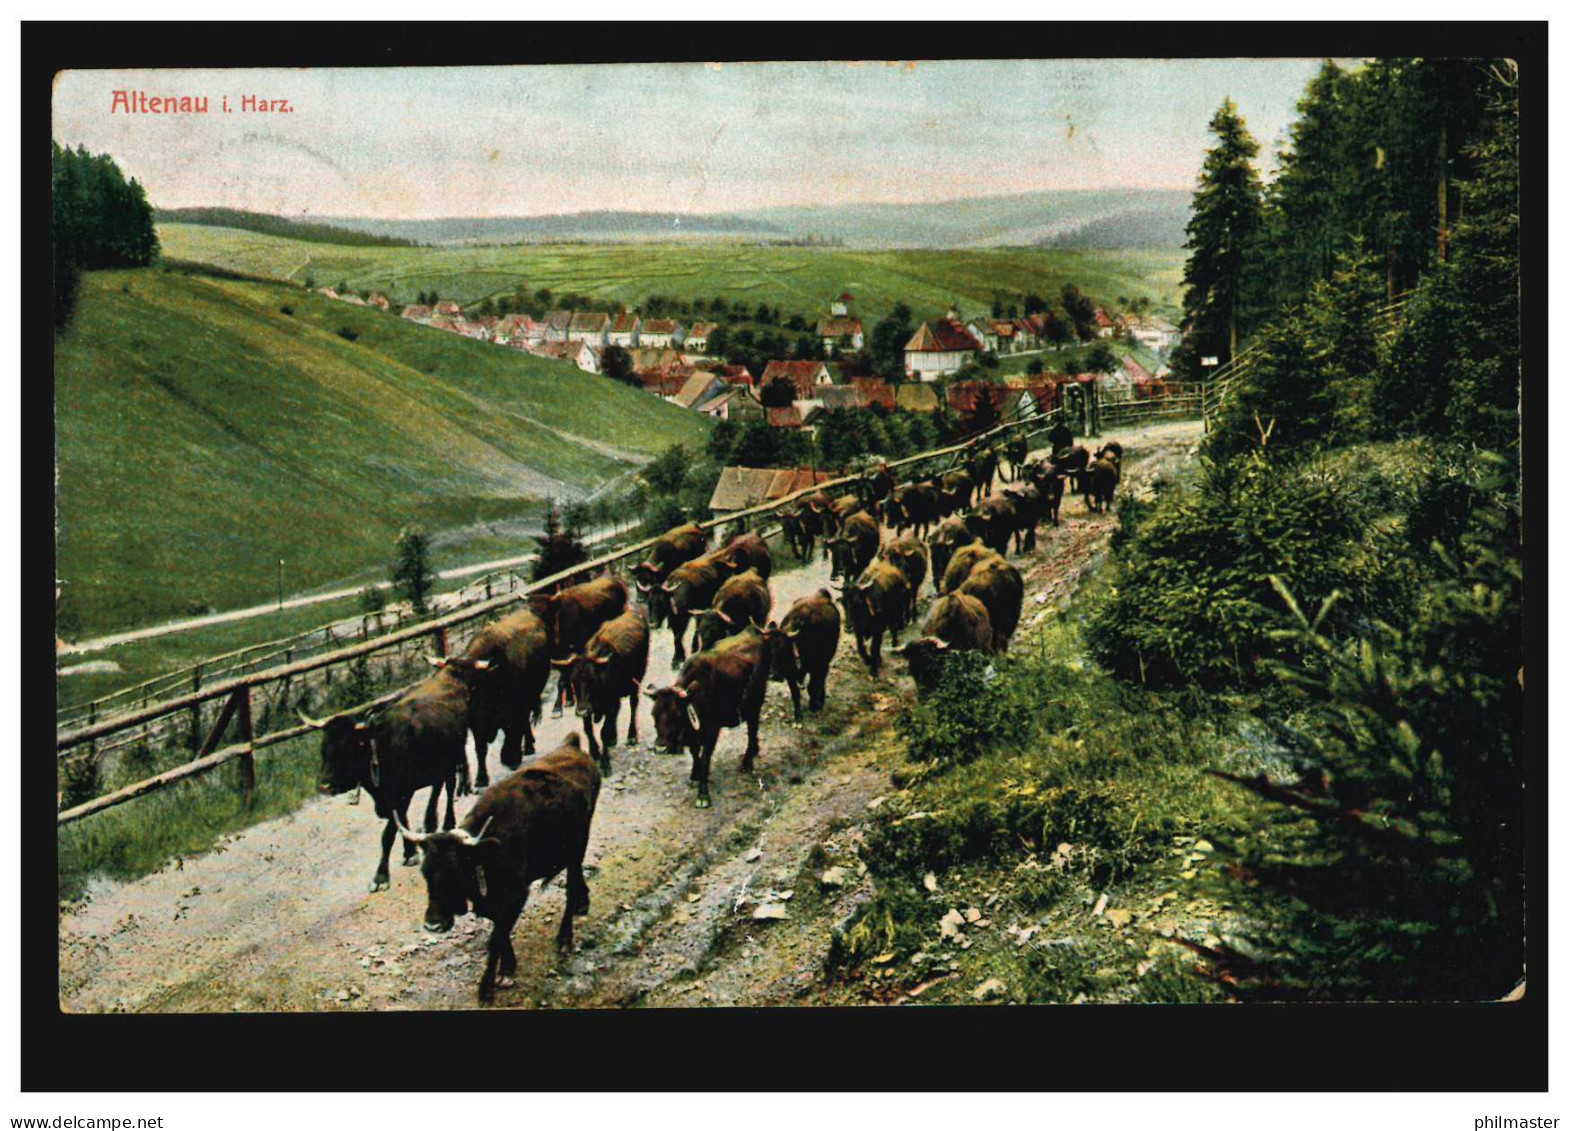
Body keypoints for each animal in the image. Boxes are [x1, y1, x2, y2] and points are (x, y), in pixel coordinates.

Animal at [398, 737, 599, 1003]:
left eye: (457, 872)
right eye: (426, 873)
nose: (433, 925)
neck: (485, 855)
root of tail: (573, 746)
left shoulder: (516, 895)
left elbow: (497, 936)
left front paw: (488, 986)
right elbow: (499, 932)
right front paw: (508, 967)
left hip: (577, 846)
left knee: (571, 886)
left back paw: (565, 939)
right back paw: (582, 904)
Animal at [455, 605, 552, 790]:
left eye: (473, 686)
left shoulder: (516, 710)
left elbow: (513, 733)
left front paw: (510, 758)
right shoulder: (477, 725)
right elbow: (480, 750)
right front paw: (481, 778)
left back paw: (527, 746)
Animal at [646, 627, 775, 803]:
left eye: (676, 715)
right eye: (654, 714)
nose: (660, 748)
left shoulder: (712, 731)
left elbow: (705, 759)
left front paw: (703, 796)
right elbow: (695, 755)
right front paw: (694, 776)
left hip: (755, 703)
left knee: (752, 729)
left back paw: (747, 763)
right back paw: (755, 750)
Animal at [762, 589, 840, 724]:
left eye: (784, 649)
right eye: (767, 650)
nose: (774, 675)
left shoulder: (817, 667)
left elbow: (812, 687)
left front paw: (813, 706)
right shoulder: (790, 674)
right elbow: (795, 693)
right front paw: (798, 716)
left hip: (826, 661)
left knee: (822, 680)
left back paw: (820, 701)